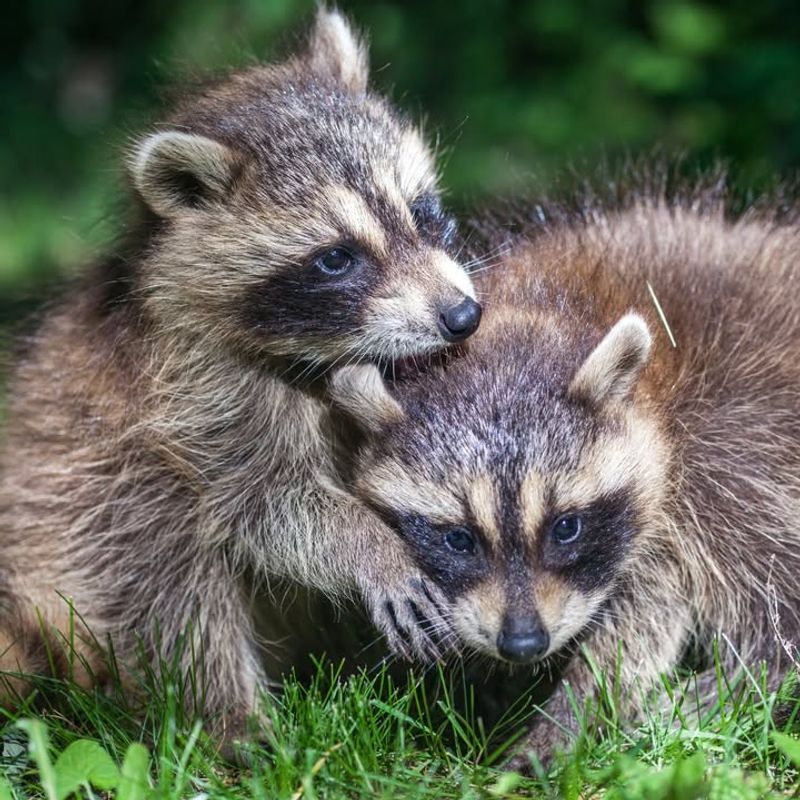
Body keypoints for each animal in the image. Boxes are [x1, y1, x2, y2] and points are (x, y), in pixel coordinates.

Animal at [0, 7, 479, 743]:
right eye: (336, 258)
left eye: (422, 210)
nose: (463, 315)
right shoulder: (195, 396)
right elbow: (260, 506)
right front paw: (368, 543)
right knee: (164, 567)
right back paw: (237, 728)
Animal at [329, 183, 800, 767]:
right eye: (458, 539)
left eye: (566, 527)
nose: (523, 644)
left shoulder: (712, 456)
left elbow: (651, 609)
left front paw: (575, 710)